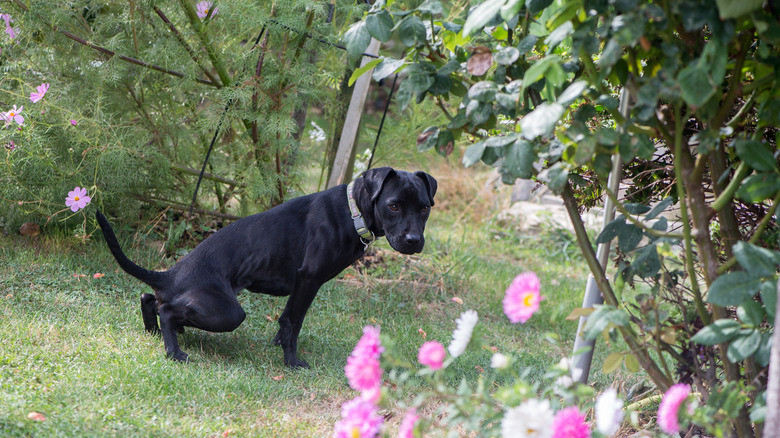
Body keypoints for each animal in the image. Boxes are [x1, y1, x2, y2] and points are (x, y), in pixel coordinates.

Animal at [96, 167, 436, 366]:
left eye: (424, 208)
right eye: (393, 205)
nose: (414, 241)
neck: (351, 211)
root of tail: (169, 276)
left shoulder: (301, 285)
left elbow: (285, 320)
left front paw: (278, 344)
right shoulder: (308, 279)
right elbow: (294, 322)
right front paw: (292, 362)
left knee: (148, 298)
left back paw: (157, 332)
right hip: (228, 312)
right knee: (165, 309)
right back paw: (174, 350)